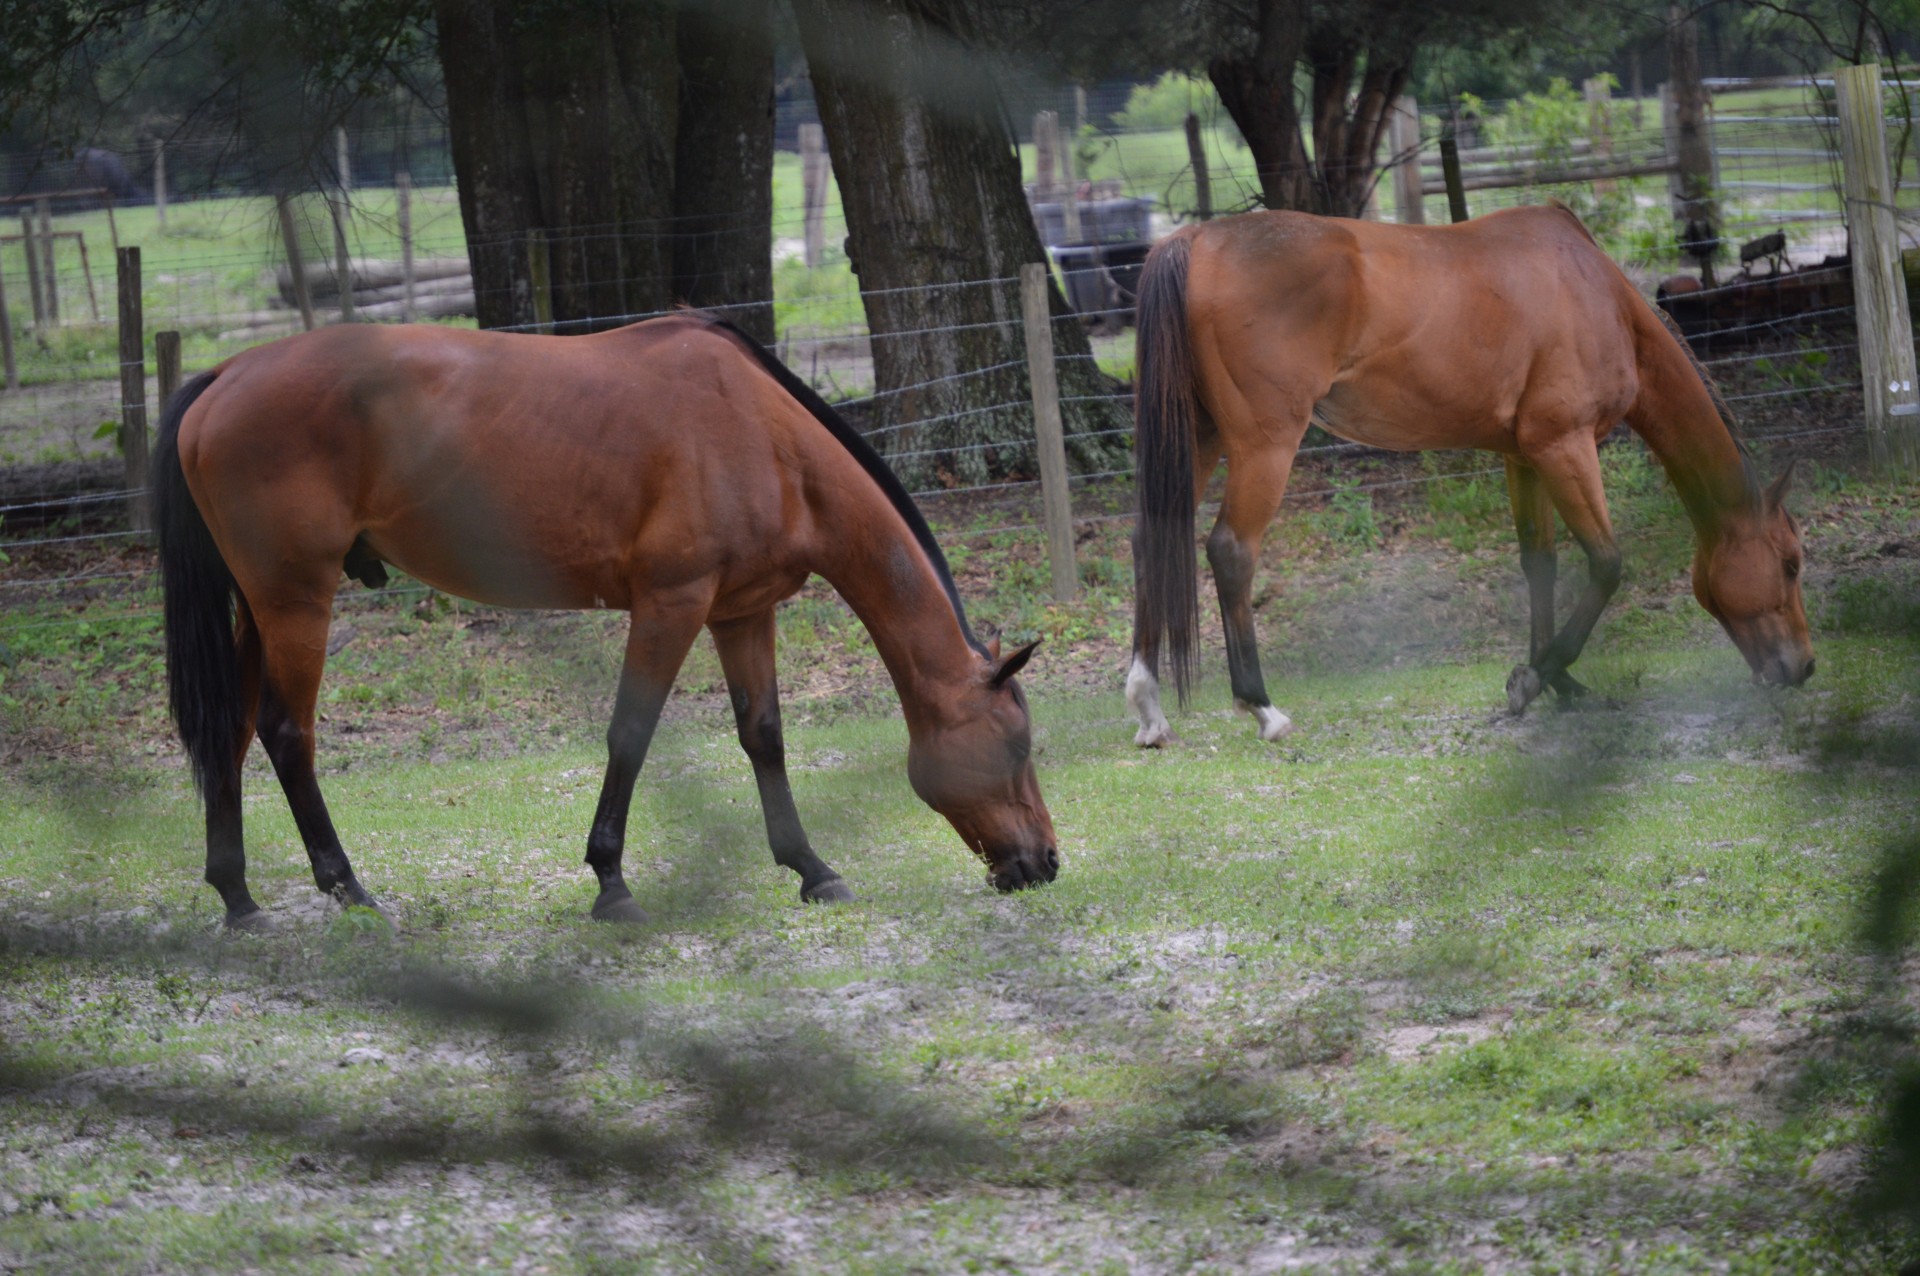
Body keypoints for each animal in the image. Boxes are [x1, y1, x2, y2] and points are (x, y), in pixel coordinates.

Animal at [151, 308, 1067, 924]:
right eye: (1016, 745)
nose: (1045, 863)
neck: (764, 435)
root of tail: (224, 377)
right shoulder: (671, 604)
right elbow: (631, 734)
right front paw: (612, 882)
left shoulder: (741, 613)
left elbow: (763, 736)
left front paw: (811, 868)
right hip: (296, 602)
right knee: (286, 734)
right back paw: (346, 887)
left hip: (260, 608)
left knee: (233, 730)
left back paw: (237, 897)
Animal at [1121, 201, 1812, 748]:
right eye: (1790, 563)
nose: (1803, 668)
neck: (1598, 295)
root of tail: (1194, 240)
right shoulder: (1566, 447)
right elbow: (1606, 563)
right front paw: (1535, 679)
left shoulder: (1526, 457)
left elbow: (1540, 563)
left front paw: (1558, 680)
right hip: (1265, 446)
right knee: (1231, 550)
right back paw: (1263, 708)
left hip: (1199, 439)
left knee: (1153, 541)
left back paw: (1149, 708)